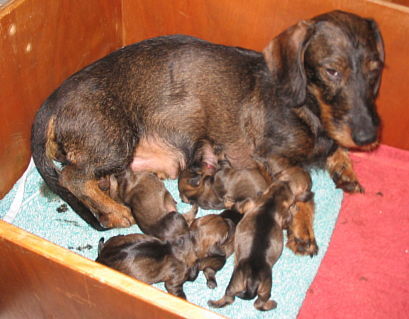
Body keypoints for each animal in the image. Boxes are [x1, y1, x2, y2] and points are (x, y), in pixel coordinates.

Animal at [31, 10, 382, 258]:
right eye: (331, 71)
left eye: (375, 69)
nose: (369, 137)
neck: (308, 107)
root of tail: (52, 102)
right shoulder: (272, 157)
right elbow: (302, 182)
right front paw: (302, 229)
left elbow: (335, 149)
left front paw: (345, 168)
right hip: (115, 142)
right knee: (73, 177)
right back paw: (116, 211)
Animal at [207, 184, 296, 312]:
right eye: (283, 184)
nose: (287, 183)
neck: (272, 203)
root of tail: (253, 281)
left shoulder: (248, 203)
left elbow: (236, 205)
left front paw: (228, 201)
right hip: (265, 288)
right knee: (259, 304)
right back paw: (272, 304)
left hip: (235, 282)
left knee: (230, 298)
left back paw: (214, 303)